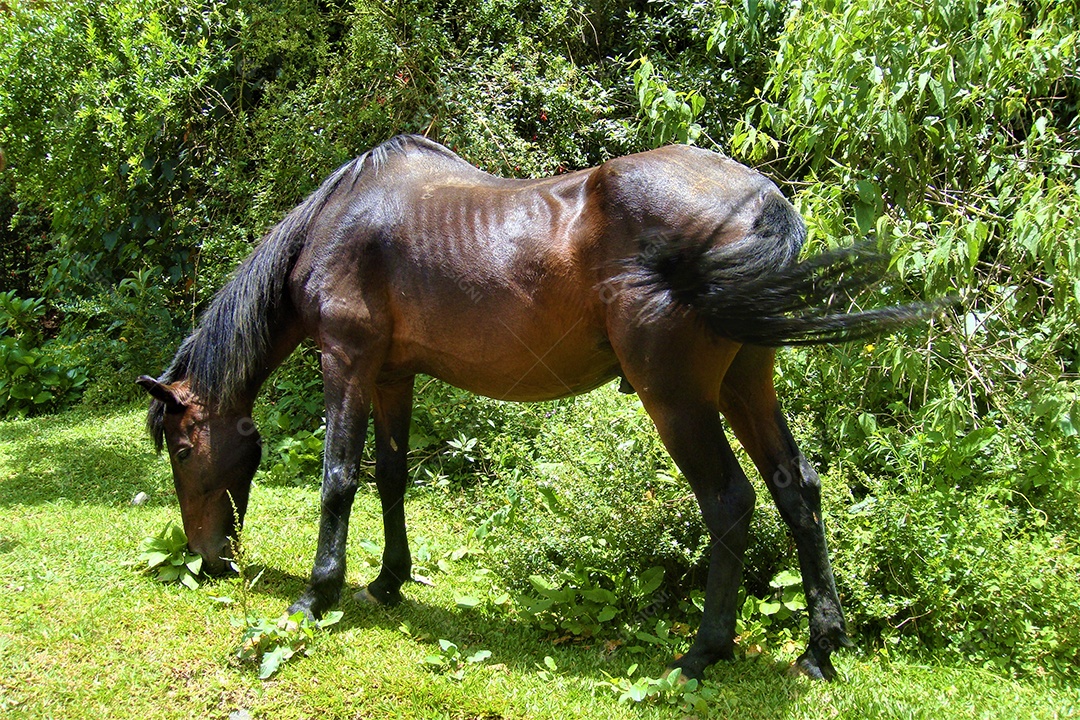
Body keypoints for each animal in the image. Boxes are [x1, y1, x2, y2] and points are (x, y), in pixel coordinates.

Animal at [139, 134, 928, 681]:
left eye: (182, 446)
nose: (209, 559)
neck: (339, 222)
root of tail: (762, 199)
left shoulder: (348, 360)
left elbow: (339, 477)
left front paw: (317, 594)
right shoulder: (394, 375)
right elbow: (391, 478)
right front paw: (389, 581)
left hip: (678, 399)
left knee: (730, 501)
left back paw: (702, 653)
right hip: (744, 382)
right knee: (796, 488)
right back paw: (821, 649)